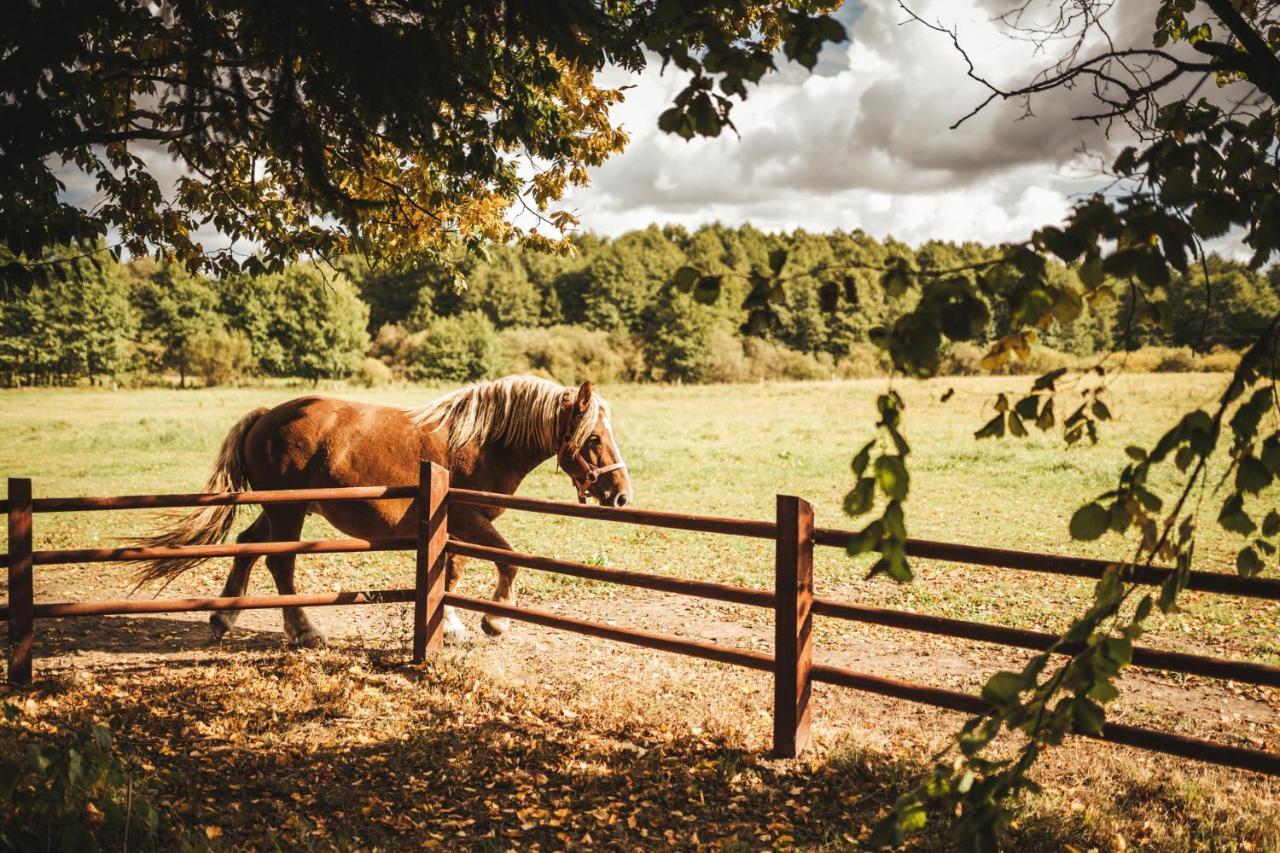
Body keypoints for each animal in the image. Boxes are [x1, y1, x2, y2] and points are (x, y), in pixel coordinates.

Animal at [132, 376, 632, 640]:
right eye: (593, 439)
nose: (621, 495)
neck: (480, 442)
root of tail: (265, 417)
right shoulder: (469, 518)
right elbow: (506, 563)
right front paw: (494, 619)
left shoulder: (455, 524)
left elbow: (449, 572)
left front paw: (450, 625)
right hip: (288, 512)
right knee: (280, 563)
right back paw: (303, 630)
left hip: (277, 510)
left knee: (248, 548)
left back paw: (224, 616)